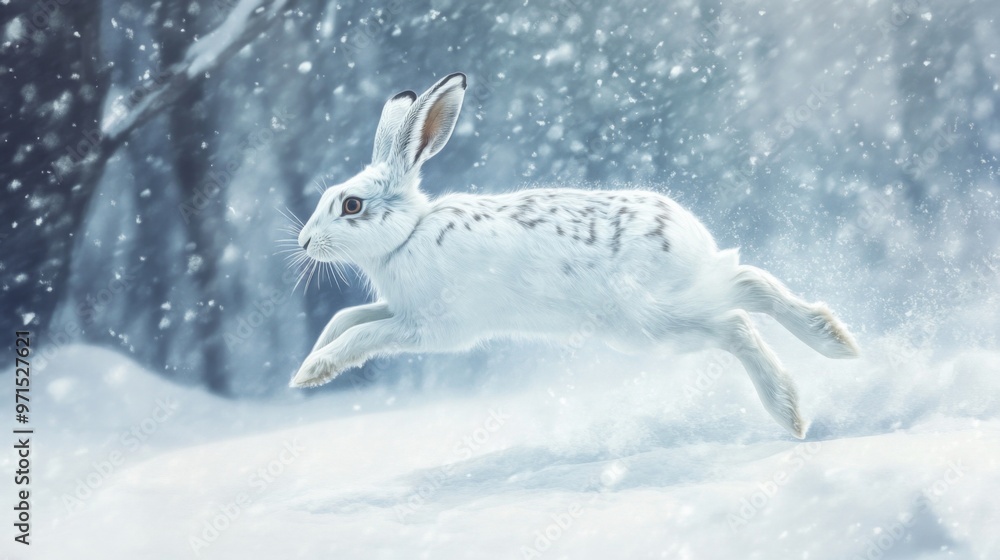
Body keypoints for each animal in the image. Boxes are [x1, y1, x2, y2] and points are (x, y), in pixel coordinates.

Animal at [289, 72, 860, 438]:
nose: (304, 243)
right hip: (678, 299)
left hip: (646, 323)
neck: (406, 235)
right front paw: (308, 367)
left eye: (351, 205)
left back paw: (790, 413)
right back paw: (835, 341)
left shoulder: (426, 326)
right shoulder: (394, 307)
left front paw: (312, 370)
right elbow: (347, 317)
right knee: (750, 283)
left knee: (737, 321)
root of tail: (688, 237)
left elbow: (363, 334)